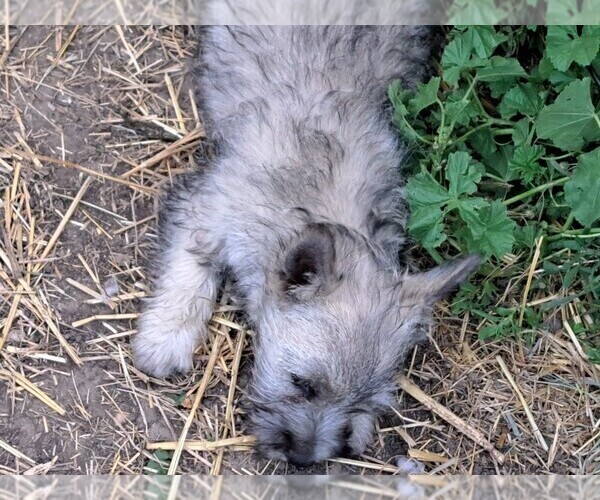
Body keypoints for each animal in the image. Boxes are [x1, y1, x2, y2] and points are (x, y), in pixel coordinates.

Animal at [132, 26, 478, 464]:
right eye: (302, 384)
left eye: (358, 404)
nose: (302, 458)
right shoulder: (203, 212)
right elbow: (186, 276)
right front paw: (166, 337)